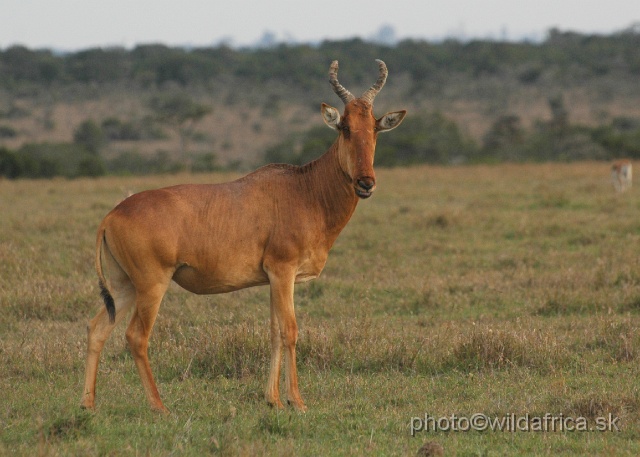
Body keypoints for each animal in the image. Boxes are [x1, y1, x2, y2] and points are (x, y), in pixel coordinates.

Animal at [81, 58, 404, 412]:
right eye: (344, 127)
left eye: (374, 127)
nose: (365, 183)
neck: (303, 189)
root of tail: (112, 215)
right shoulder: (283, 271)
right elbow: (291, 330)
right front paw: (297, 401)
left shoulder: (274, 278)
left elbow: (275, 332)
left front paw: (273, 400)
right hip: (152, 284)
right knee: (136, 336)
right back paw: (159, 407)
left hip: (125, 285)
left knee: (98, 328)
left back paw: (88, 404)